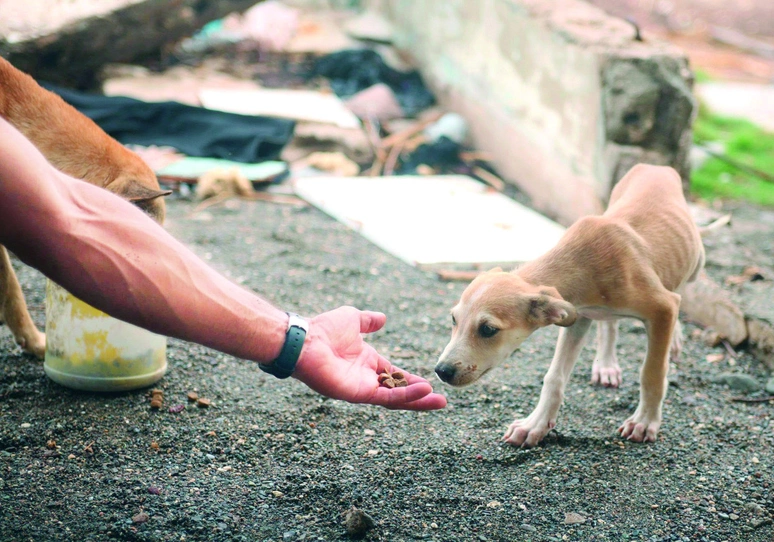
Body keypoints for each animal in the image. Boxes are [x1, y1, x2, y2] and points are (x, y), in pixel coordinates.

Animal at [436, 164, 708, 448]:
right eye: (454, 320)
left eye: (488, 329)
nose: (441, 371)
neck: (583, 262)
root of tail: (655, 166)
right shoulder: (577, 317)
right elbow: (554, 377)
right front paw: (535, 425)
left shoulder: (662, 307)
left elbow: (652, 372)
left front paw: (644, 422)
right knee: (610, 324)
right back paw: (606, 365)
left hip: (696, 263)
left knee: (680, 288)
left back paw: (673, 339)